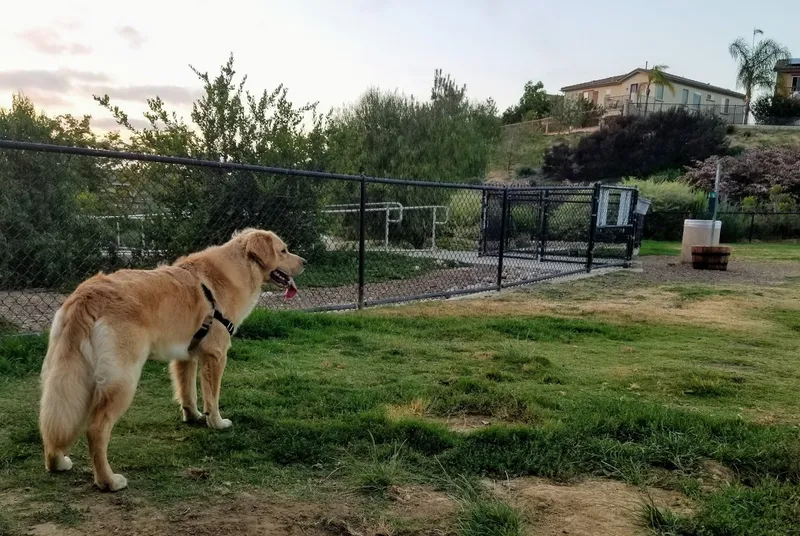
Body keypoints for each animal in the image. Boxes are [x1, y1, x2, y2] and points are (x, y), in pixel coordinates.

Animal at [39, 228, 304, 492]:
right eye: (283, 250)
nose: (305, 262)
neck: (238, 267)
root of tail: (87, 296)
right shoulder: (216, 355)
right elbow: (212, 397)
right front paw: (217, 423)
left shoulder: (186, 356)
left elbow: (188, 393)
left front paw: (194, 417)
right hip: (123, 381)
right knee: (96, 430)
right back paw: (109, 481)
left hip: (66, 378)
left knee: (52, 421)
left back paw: (57, 462)